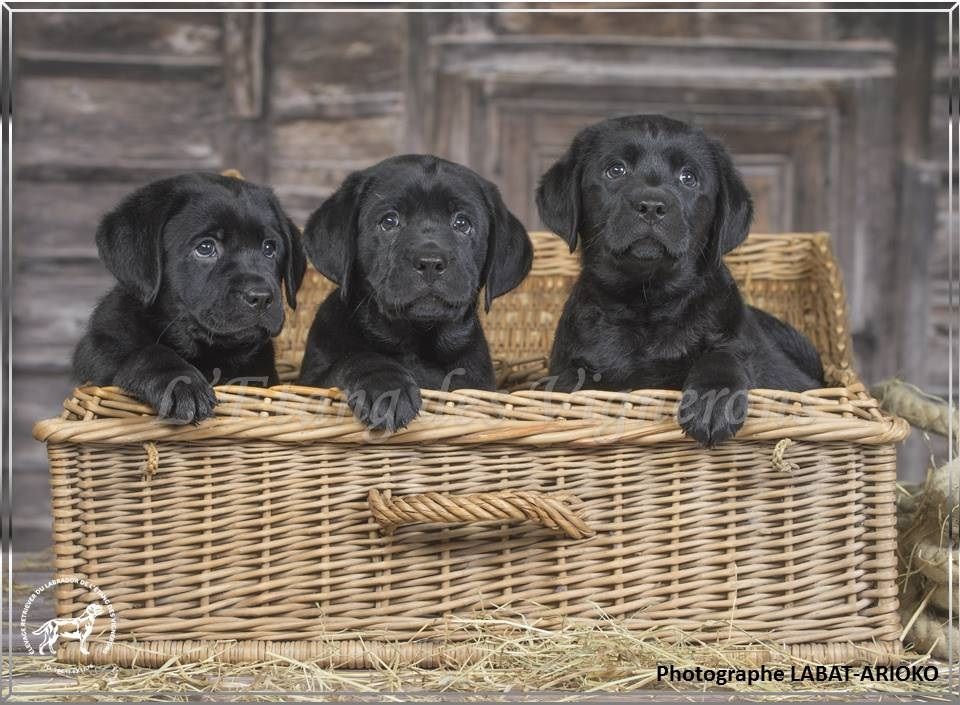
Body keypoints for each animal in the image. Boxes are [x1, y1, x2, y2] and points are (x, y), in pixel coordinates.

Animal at [75, 173, 308, 420]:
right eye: (205, 247)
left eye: (269, 248)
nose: (261, 297)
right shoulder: (100, 346)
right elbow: (145, 352)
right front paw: (181, 383)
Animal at [298, 154, 532, 428]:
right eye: (389, 221)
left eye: (462, 223)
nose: (430, 262)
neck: (416, 344)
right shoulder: (311, 381)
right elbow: (354, 359)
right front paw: (387, 388)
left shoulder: (478, 385)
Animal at [536, 115, 820, 446]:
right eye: (615, 170)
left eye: (688, 178)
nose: (651, 206)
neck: (647, 303)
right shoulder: (569, 360)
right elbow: (571, 380)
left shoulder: (739, 342)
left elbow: (723, 354)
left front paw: (712, 404)